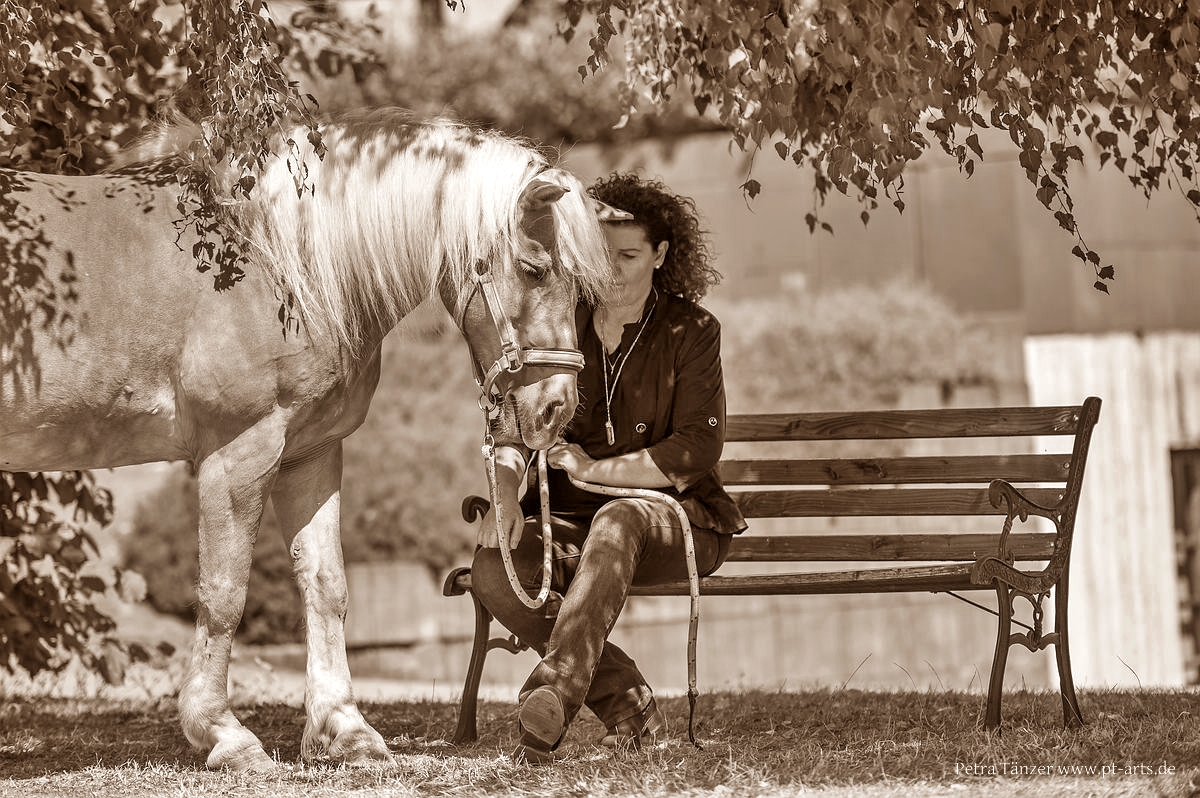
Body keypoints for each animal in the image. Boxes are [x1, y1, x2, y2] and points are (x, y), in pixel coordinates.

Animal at [0, 109, 614, 768]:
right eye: (534, 268)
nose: (557, 407)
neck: (273, 260)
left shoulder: (310, 455)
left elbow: (327, 587)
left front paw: (343, 727)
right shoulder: (238, 453)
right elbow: (223, 594)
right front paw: (221, 731)